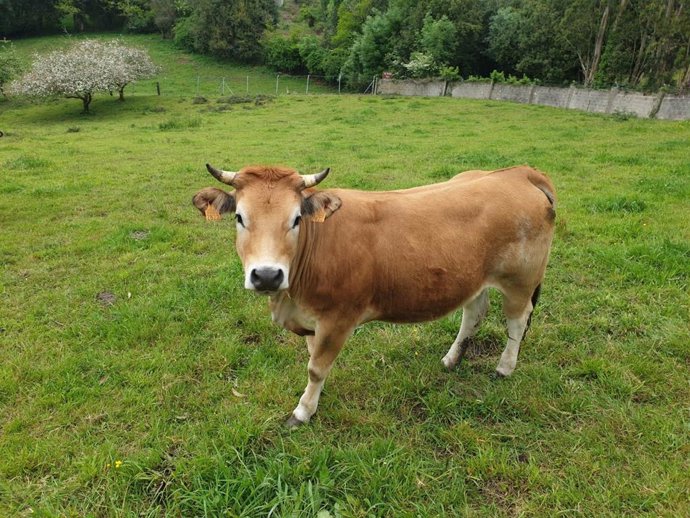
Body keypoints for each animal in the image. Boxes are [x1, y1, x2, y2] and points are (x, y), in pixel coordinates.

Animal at [192, 164, 556, 427]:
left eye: (296, 219)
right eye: (240, 217)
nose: (267, 275)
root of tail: (518, 172)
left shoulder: (338, 319)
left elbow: (316, 368)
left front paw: (303, 412)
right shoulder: (312, 318)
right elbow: (313, 359)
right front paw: (314, 399)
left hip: (521, 280)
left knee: (517, 322)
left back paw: (504, 368)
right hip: (473, 278)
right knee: (474, 313)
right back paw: (452, 359)